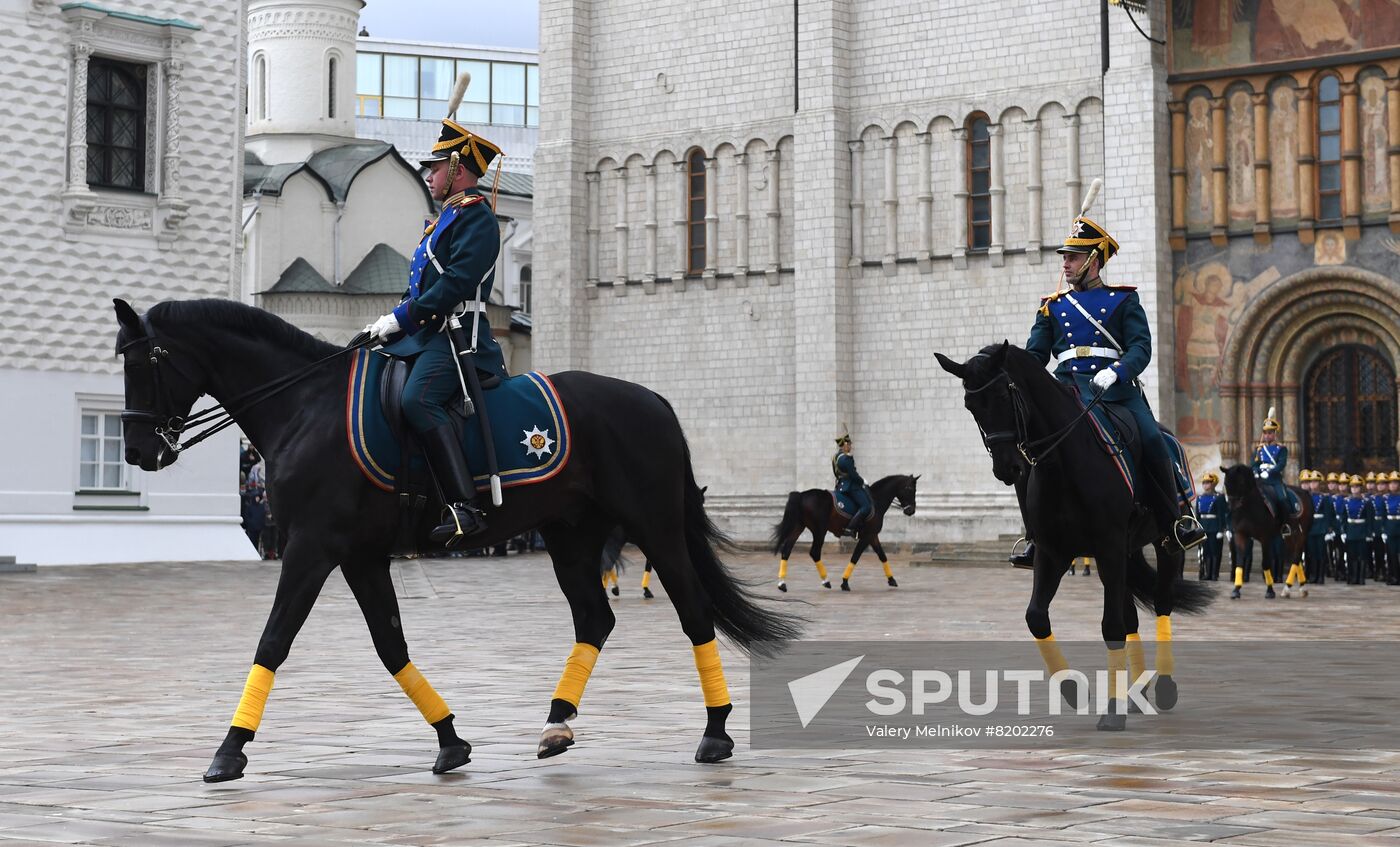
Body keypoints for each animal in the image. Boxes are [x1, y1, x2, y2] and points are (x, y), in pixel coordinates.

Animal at [109, 296, 800, 778]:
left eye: (142, 362)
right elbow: (390, 646)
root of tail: (654, 398)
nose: (139, 450)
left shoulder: (310, 548)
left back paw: (715, 731)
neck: (306, 405)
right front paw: (450, 740)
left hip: (654, 527)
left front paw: (229, 751)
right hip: (570, 536)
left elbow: (273, 641)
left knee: (693, 611)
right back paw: (557, 725)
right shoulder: (360, 557)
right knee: (594, 619)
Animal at [767, 473, 918, 590]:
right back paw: (826, 581)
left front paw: (891, 579)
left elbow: (882, 556)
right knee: (814, 552)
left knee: (786, 550)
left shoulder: (872, 535)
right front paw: (845, 582)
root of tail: (802, 495)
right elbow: (855, 557)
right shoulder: (867, 536)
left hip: (799, 527)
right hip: (819, 530)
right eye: (910, 488)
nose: (911, 511)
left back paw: (782, 584)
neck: (875, 500)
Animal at [940, 341, 1215, 728]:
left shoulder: (1108, 546)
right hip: (1126, 552)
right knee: (1131, 615)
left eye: (1004, 394)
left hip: (1163, 544)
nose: (1008, 468)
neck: (1064, 465)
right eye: (970, 405)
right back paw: (1136, 693)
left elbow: (1111, 625)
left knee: (1162, 602)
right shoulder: (1054, 552)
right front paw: (1074, 690)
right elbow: (1036, 617)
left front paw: (1112, 712)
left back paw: (1162, 686)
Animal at [1215, 464, 1310, 599]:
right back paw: (1301, 588)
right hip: (1289, 537)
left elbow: (1265, 563)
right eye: (1226, 484)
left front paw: (1270, 590)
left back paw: (1287, 588)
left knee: (1296, 558)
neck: (1248, 508)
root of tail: (1305, 492)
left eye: (1240, 483)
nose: (1231, 510)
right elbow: (1239, 561)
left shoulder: (1265, 538)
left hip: (1302, 534)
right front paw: (1236, 589)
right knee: (1296, 558)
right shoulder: (1240, 535)